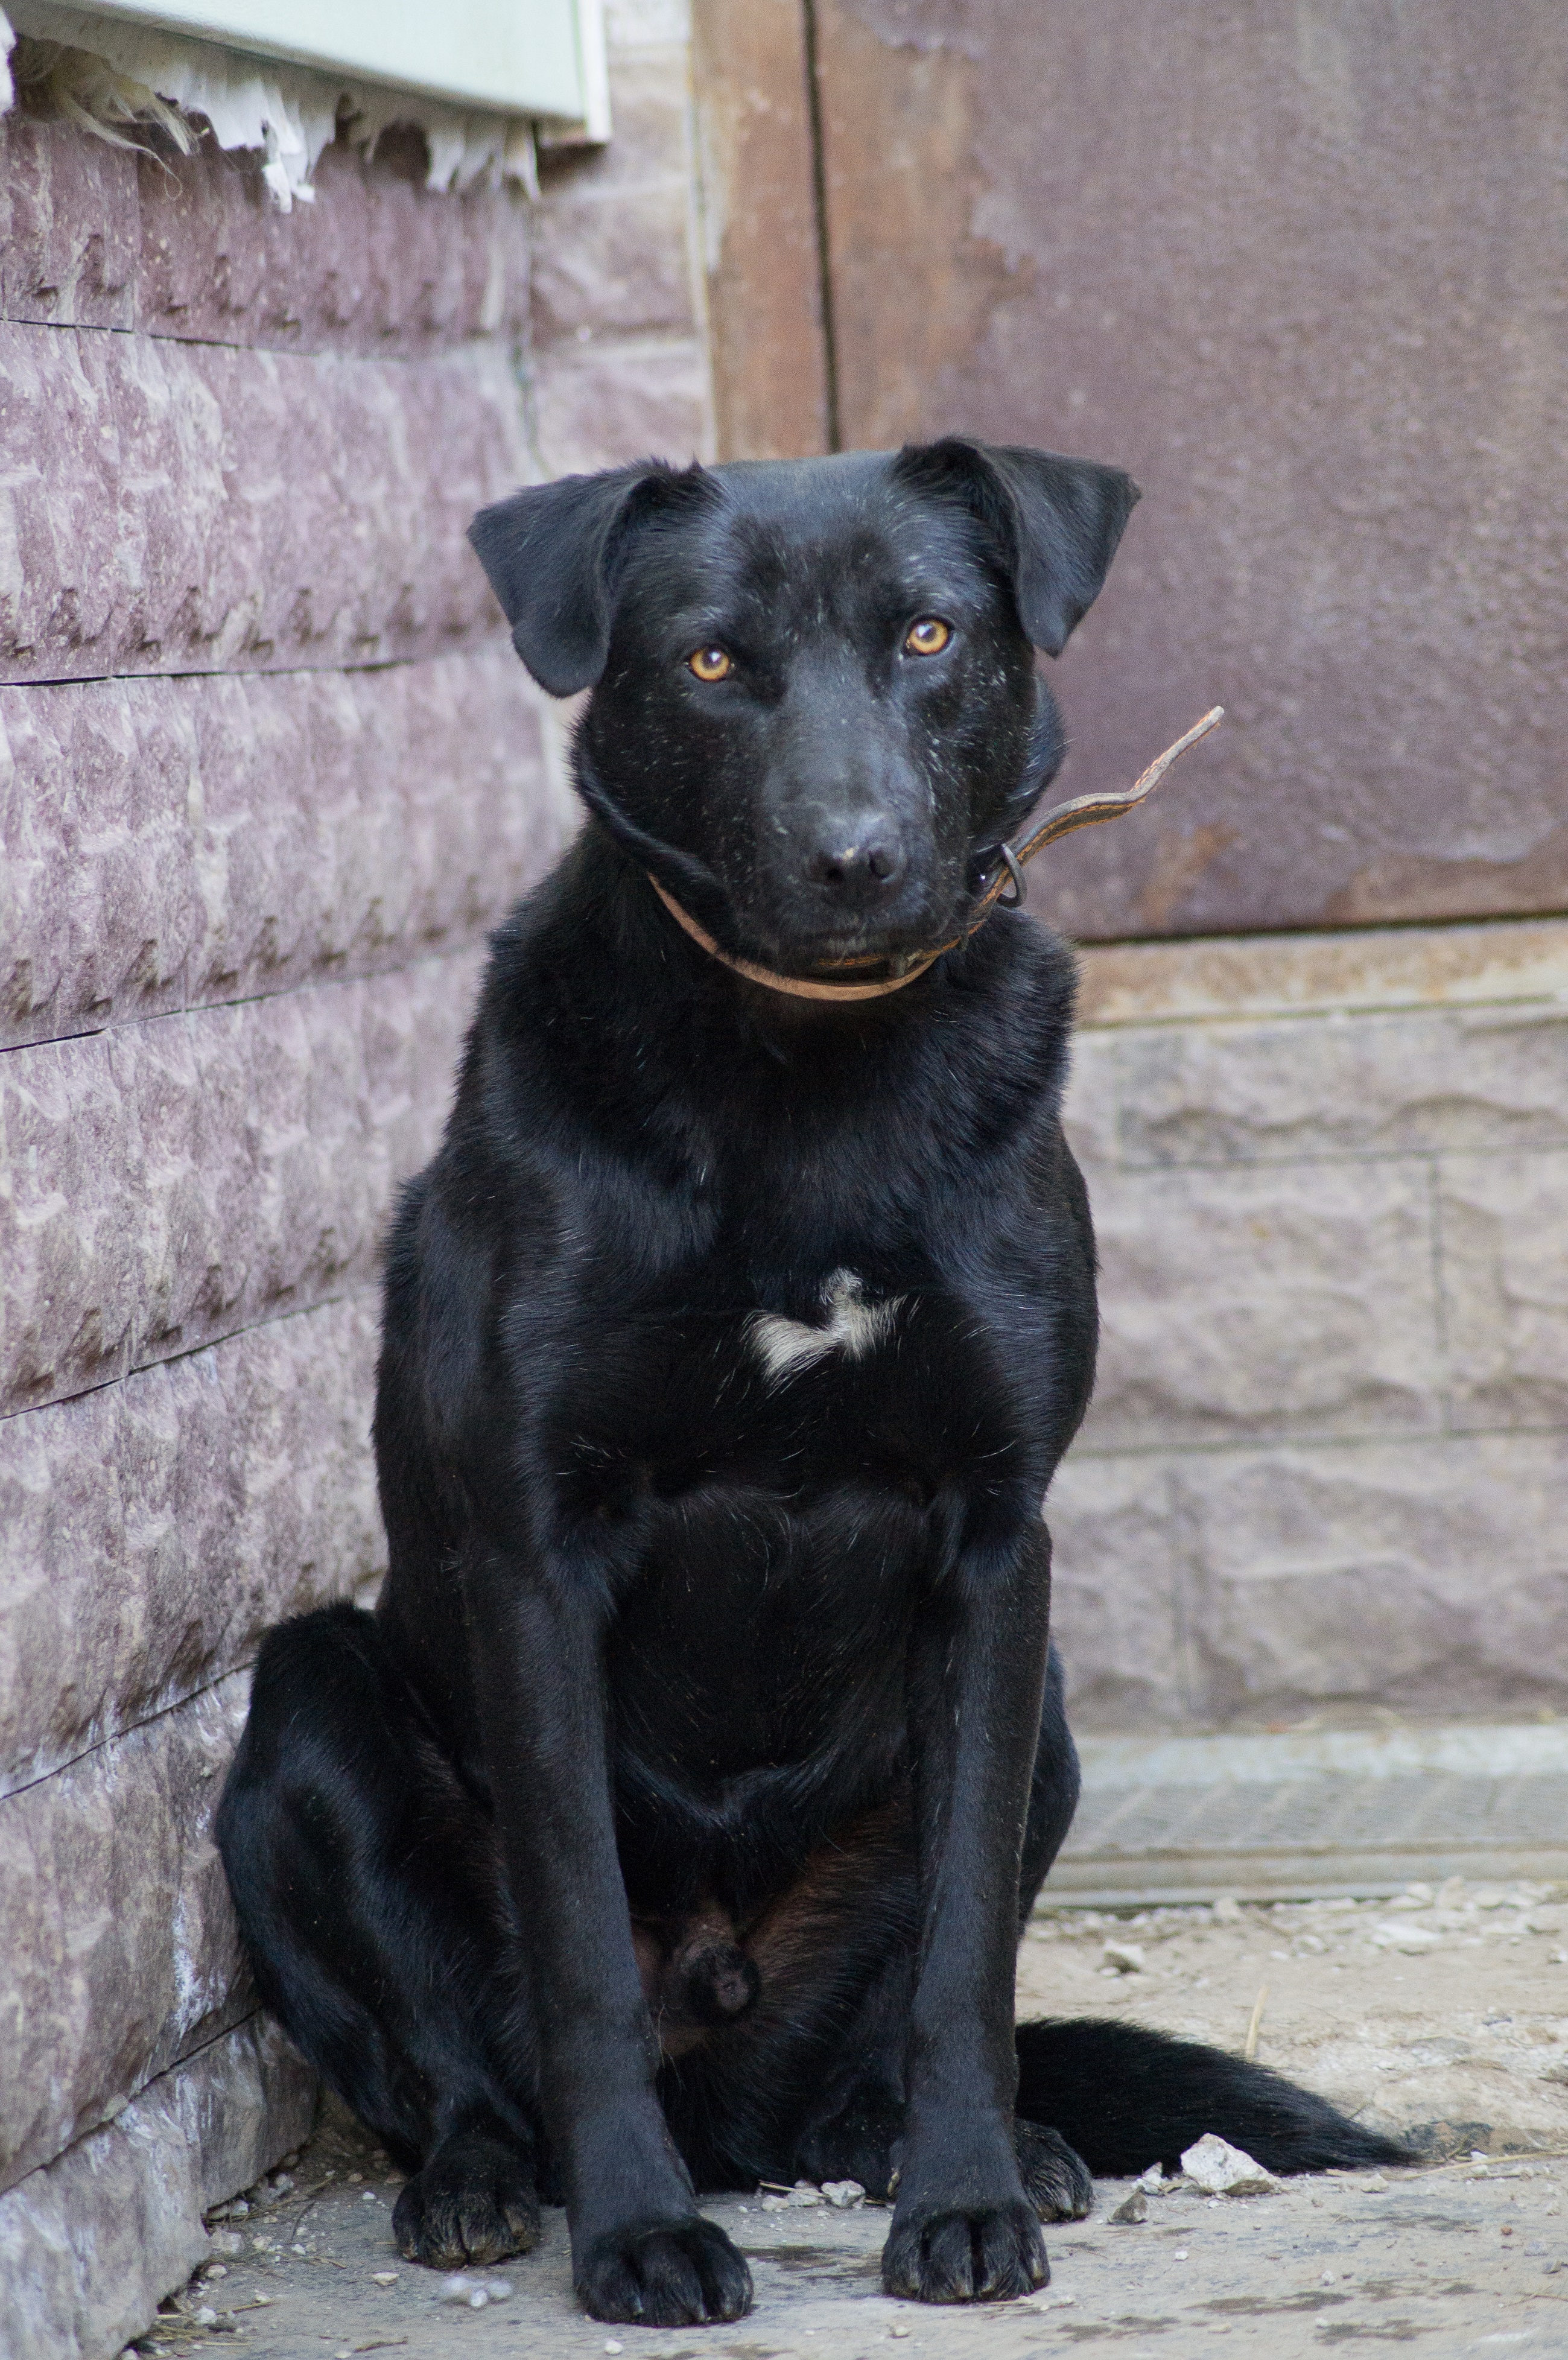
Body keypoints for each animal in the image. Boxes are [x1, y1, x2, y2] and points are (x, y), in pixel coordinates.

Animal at [215, 439, 1398, 2322]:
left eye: (925, 634)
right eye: (710, 660)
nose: (855, 858)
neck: (811, 1078)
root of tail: (731, 2079)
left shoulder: (995, 1543)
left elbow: (963, 1966)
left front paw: (962, 2199)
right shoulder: (538, 1555)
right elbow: (574, 1955)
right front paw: (633, 2236)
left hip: (1048, 1721)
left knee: (858, 2057)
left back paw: (956, 2149)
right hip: (309, 1705)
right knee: (459, 2068)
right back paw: (485, 2186)